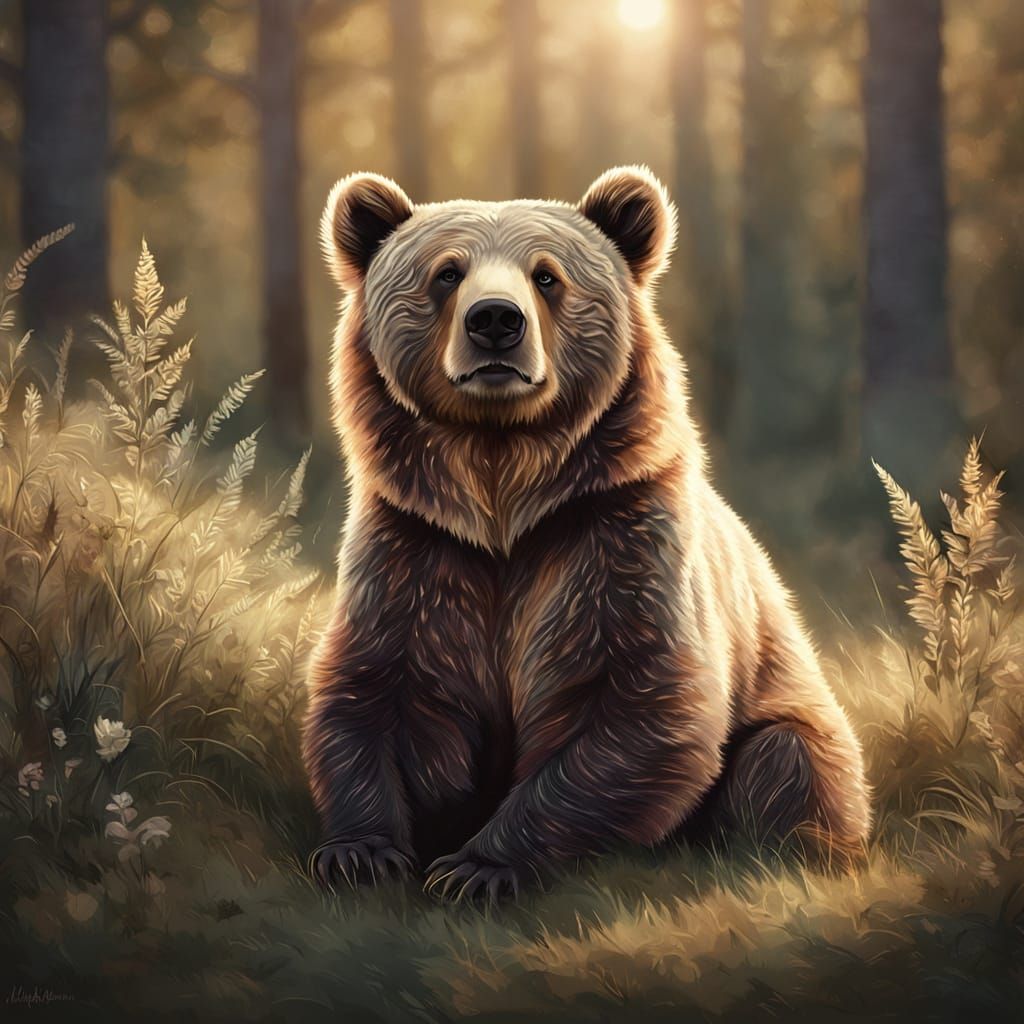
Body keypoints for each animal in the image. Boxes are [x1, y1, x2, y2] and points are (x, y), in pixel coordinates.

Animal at [303, 165, 871, 902]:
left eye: (547, 276)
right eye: (447, 273)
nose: (496, 321)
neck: (502, 493)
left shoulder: (615, 542)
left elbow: (639, 705)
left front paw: (476, 867)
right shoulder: (418, 549)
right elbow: (376, 691)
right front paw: (360, 853)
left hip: (799, 719)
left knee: (786, 763)